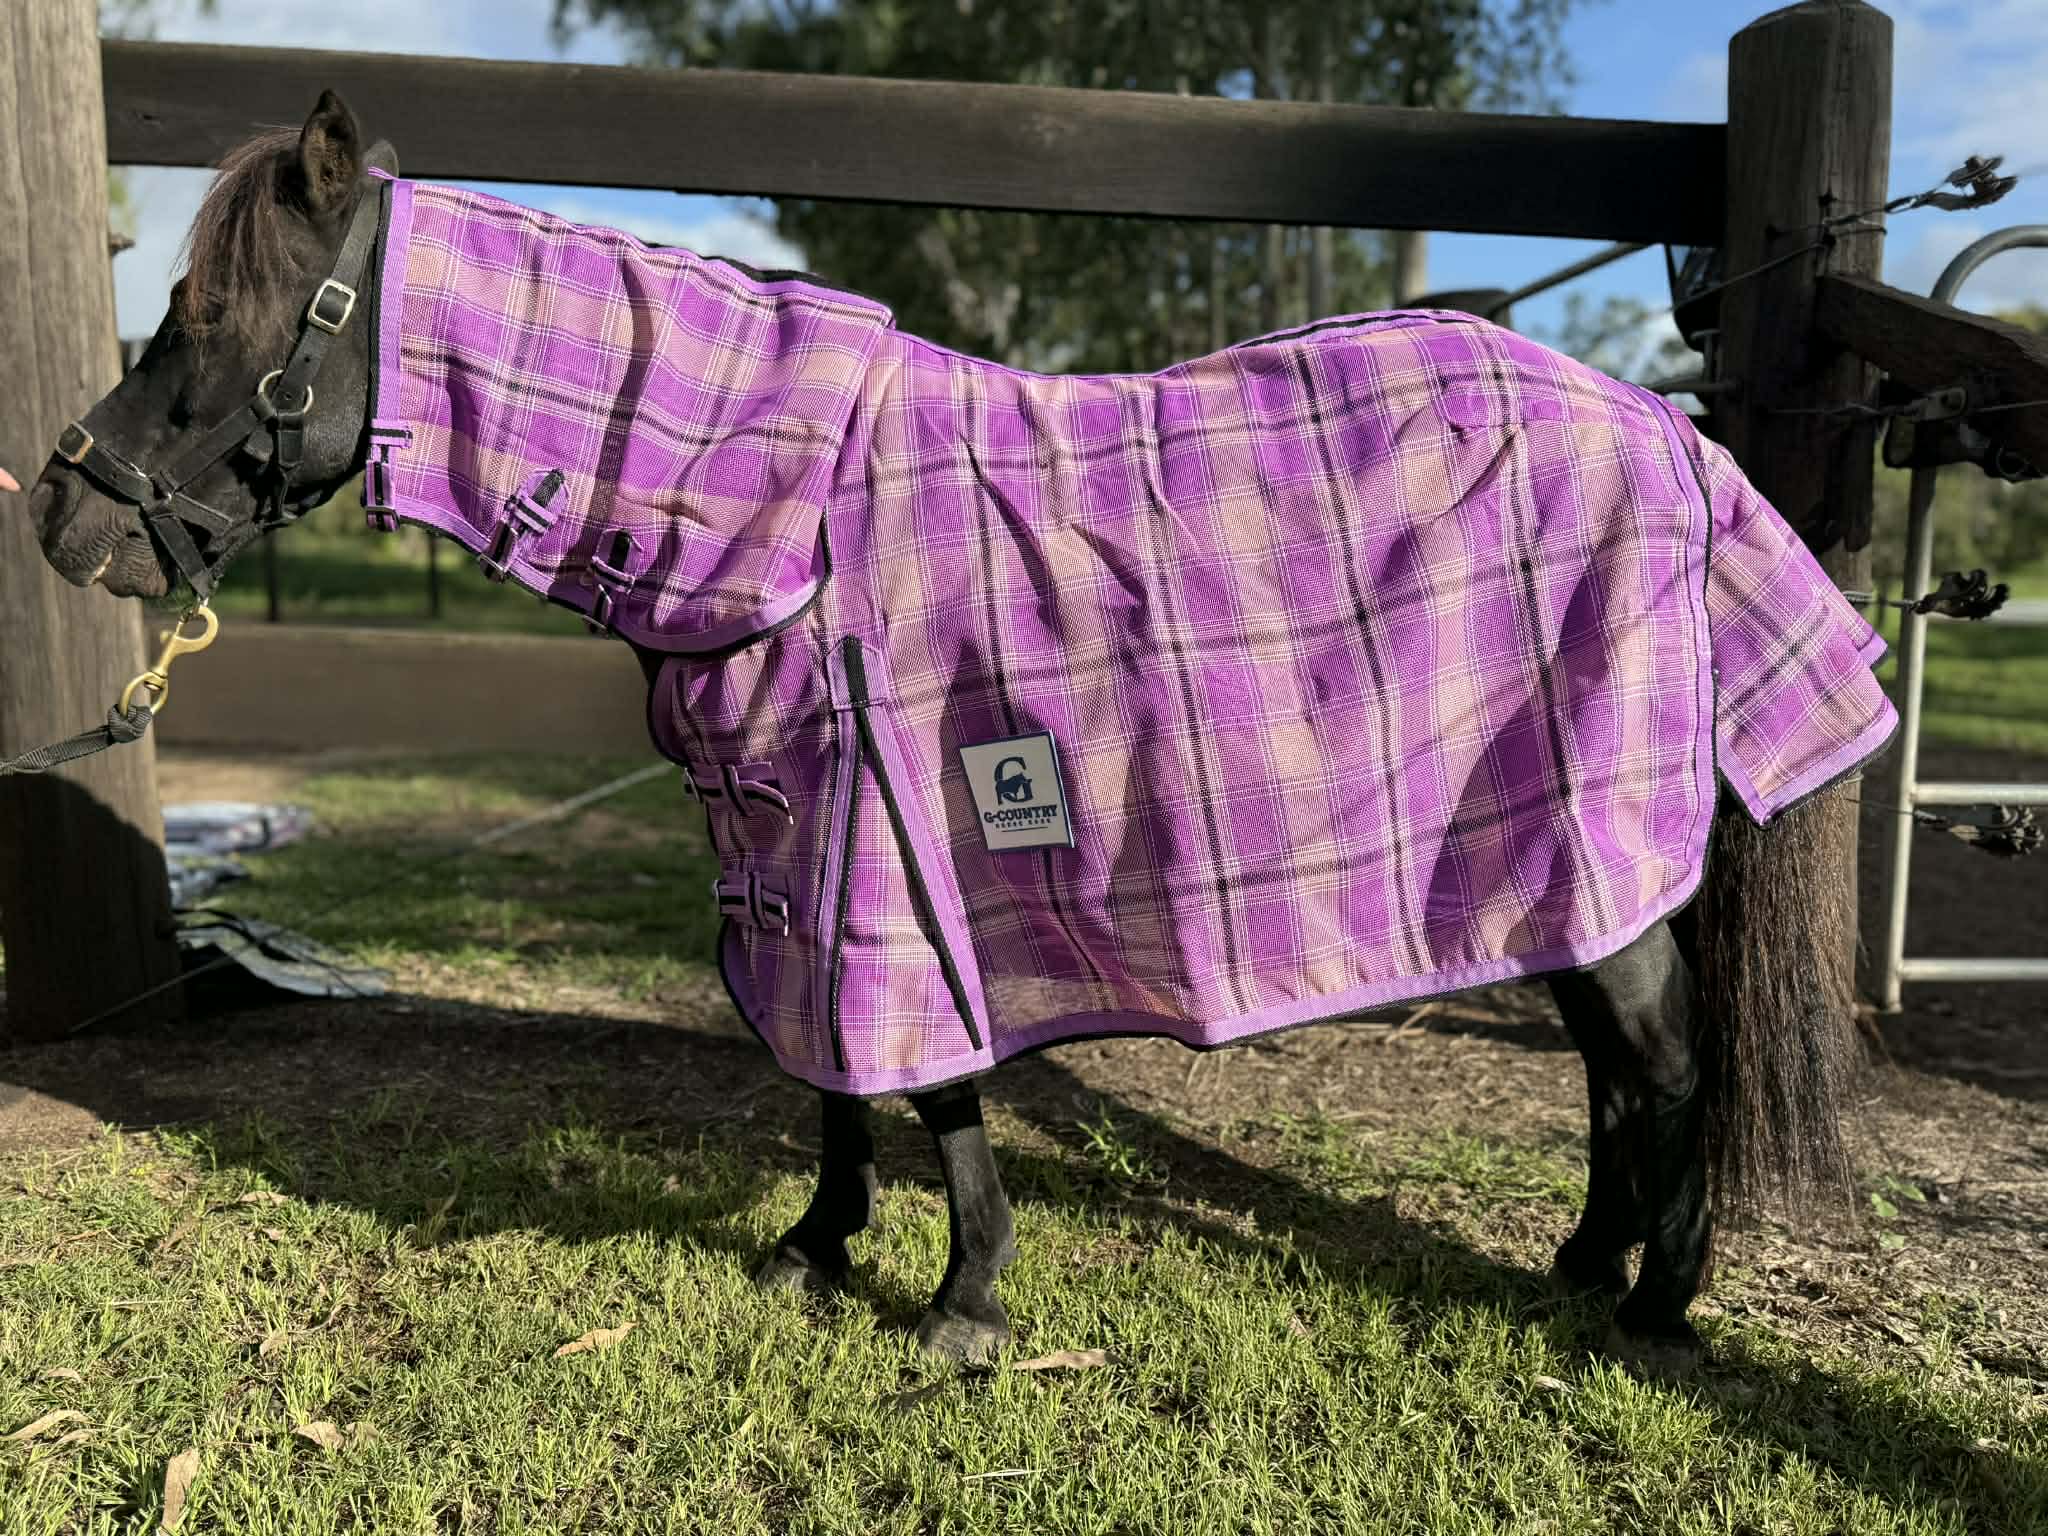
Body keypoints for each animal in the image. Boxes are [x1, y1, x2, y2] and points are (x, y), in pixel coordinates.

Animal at [23, 90, 1894, 1376]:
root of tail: (1664, 426)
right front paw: (818, 1246)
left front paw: (964, 1302)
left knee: (1660, 1065)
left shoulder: (884, 849)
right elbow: (832, 1080)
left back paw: (1653, 1312)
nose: (64, 514)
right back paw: (1584, 1269)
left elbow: (928, 1083)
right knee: (1608, 1068)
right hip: (1549, 868)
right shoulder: (793, 846)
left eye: (214, 316)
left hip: (1587, 834)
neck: (775, 517)